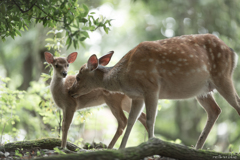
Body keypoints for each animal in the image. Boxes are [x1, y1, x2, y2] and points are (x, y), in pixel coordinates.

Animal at [68, 33, 240, 149]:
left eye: (78, 77)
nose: (70, 91)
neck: (125, 75)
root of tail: (232, 52)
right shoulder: (137, 96)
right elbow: (132, 121)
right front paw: (122, 149)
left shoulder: (151, 87)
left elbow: (151, 120)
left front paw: (152, 145)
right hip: (202, 90)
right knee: (215, 110)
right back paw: (197, 148)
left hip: (222, 75)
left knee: (236, 104)